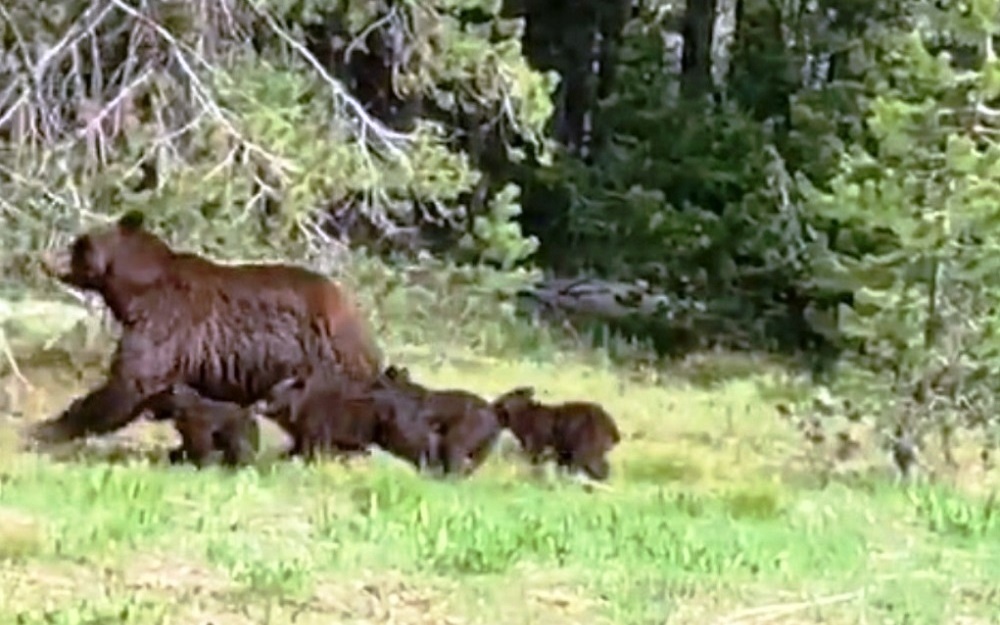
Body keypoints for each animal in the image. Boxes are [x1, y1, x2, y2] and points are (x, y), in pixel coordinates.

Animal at [29, 210, 383, 452]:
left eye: (78, 245)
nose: (44, 257)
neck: (136, 292)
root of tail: (357, 315)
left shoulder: (168, 322)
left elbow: (132, 380)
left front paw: (47, 429)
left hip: (324, 361)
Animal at [491, 386, 621, 481]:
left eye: (507, 395)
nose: (494, 403)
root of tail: (614, 431)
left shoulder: (537, 445)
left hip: (588, 448)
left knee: (600, 470)